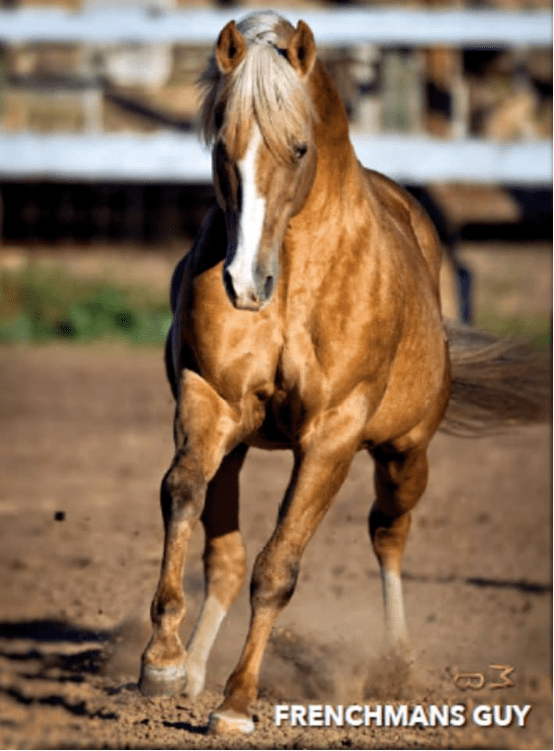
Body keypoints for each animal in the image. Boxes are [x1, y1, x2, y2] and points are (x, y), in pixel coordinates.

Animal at [137, 11, 544, 736]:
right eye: (221, 148)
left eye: (299, 149)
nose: (245, 284)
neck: (299, 272)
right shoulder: (208, 401)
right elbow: (182, 495)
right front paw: (162, 662)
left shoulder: (332, 437)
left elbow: (277, 568)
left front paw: (237, 704)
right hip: (239, 445)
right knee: (224, 556)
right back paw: (194, 669)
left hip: (405, 454)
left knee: (389, 535)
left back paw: (398, 664)